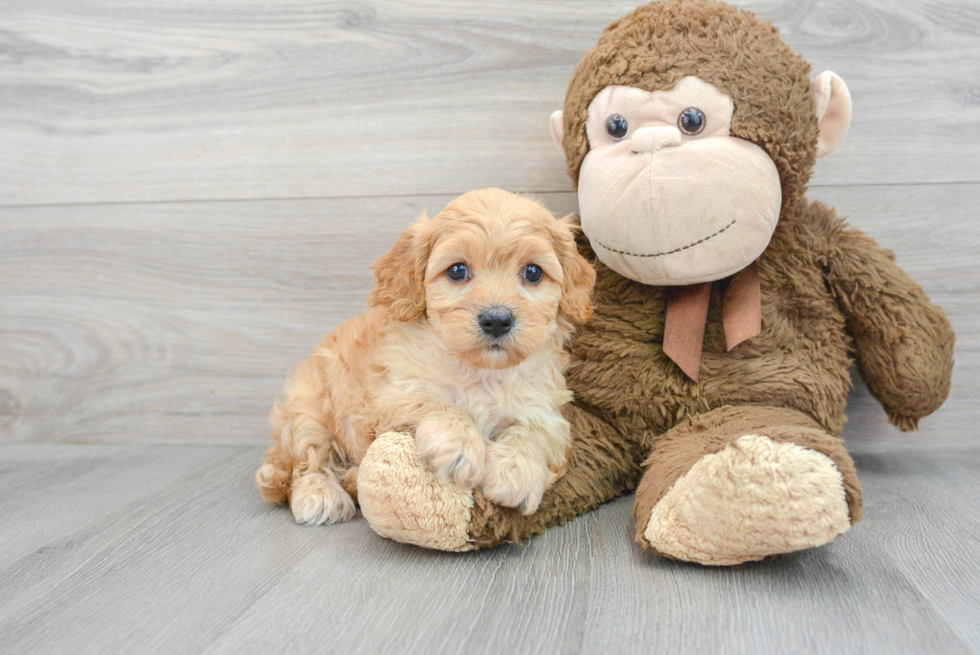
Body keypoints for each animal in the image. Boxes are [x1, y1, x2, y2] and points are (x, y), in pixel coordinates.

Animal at [256, 187, 592, 524]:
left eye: (533, 272)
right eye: (457, 270)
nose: (496, 320)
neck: (481, 371)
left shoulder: (543, 408)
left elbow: (535, 433)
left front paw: (516, 471)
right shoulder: (392, 396)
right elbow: (438, 404)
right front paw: (460, 446)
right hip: (308, 406)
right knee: (308, 458)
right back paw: (321, 494)